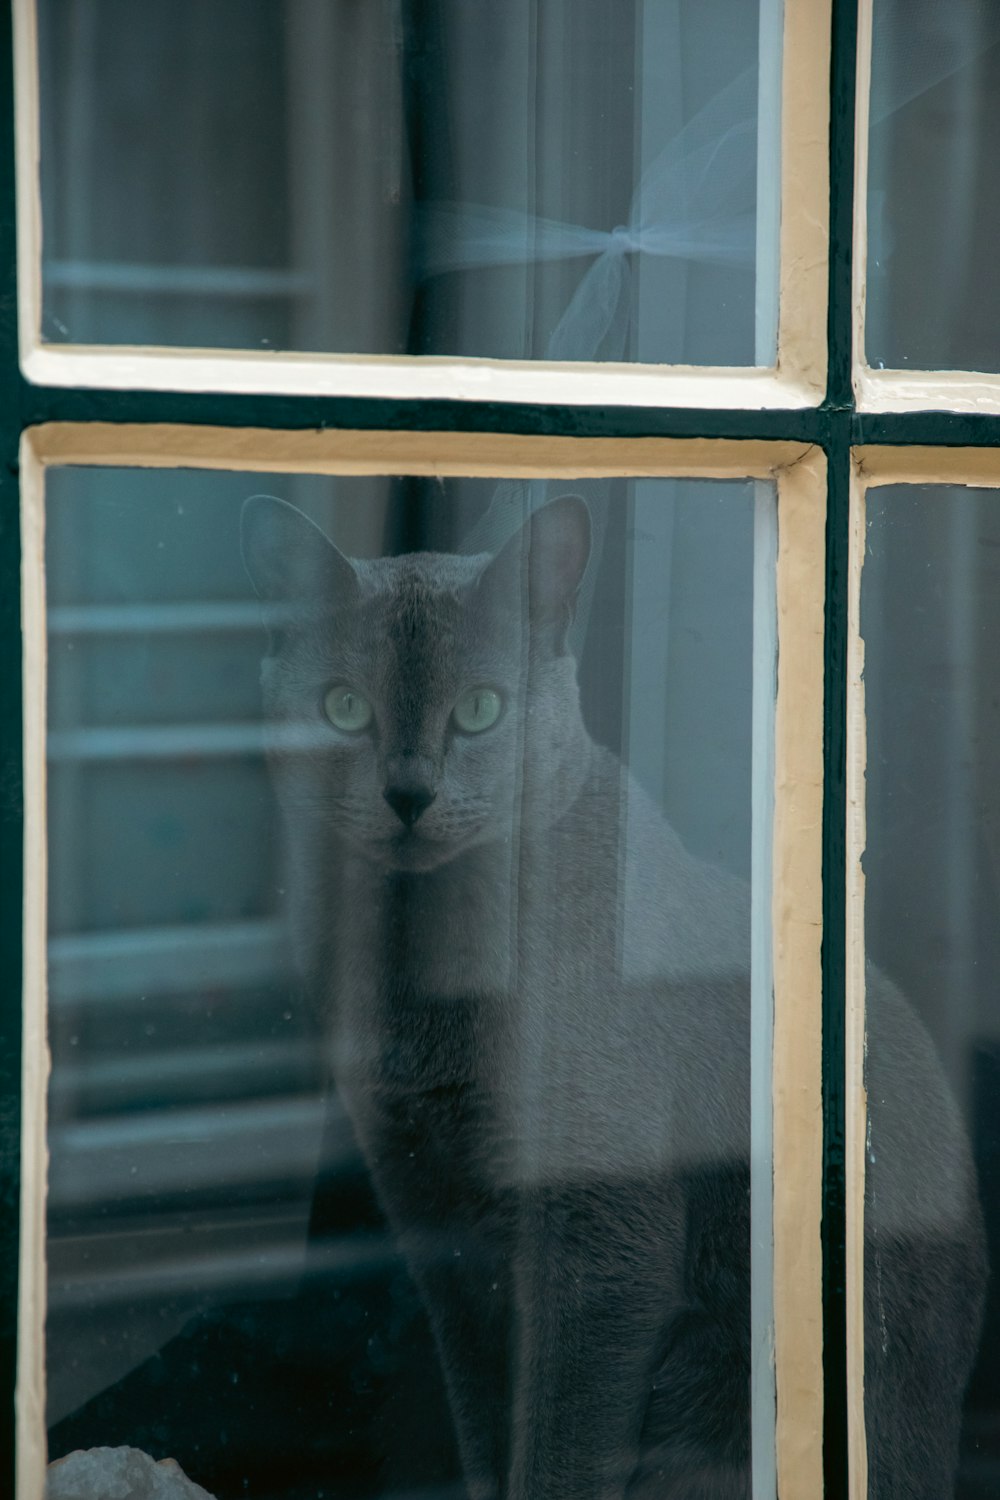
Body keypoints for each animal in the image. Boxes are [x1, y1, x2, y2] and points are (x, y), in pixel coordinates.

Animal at [244, 486, 983, 1494]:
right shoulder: (437, 1223)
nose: (408, 793)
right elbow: (488, 1425)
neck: (426, 969)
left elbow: (561, 1437)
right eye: (344, 707)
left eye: (481, 709)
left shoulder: (601, 1235)